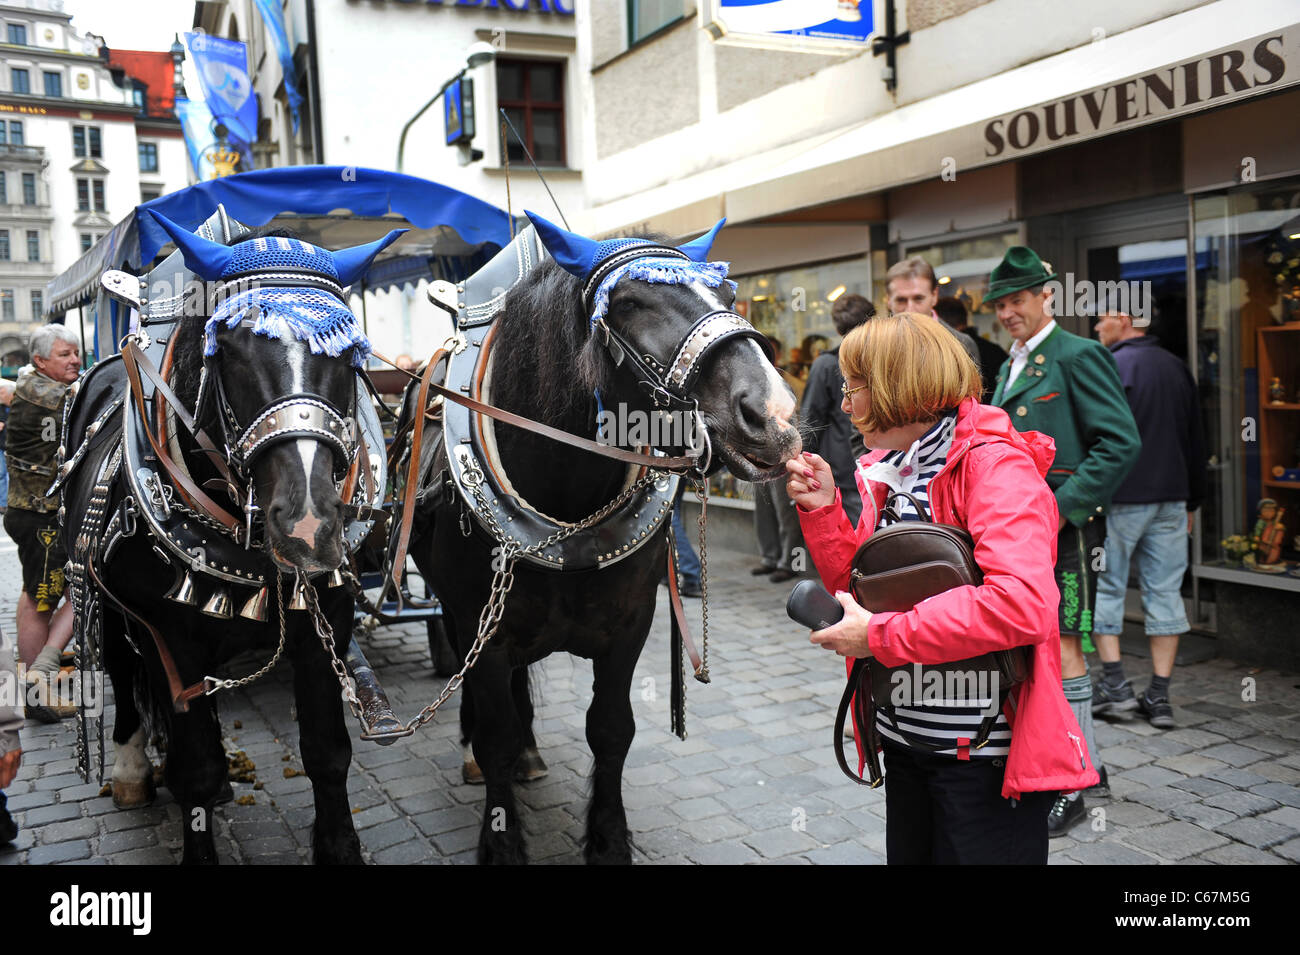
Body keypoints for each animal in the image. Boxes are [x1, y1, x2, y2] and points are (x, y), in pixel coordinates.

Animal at [58, 211, 397, 863]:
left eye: (348, 356)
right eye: (232, 353)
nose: (309, 526)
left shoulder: (329, 619)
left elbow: (327, 751)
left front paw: (338, 845)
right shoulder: (167, 633)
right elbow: (196, 765)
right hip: (108, 604)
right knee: (123, 671)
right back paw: (133, 767)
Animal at [395, 213, 800, 863]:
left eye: (729, 293)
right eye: (629, 302)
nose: (775, 416)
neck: (567, 505)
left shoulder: (630, 625)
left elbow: (612, 730)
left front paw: (608, 838)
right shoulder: (485, 629)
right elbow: (495, 737)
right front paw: (501, 841)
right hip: (457, 614)